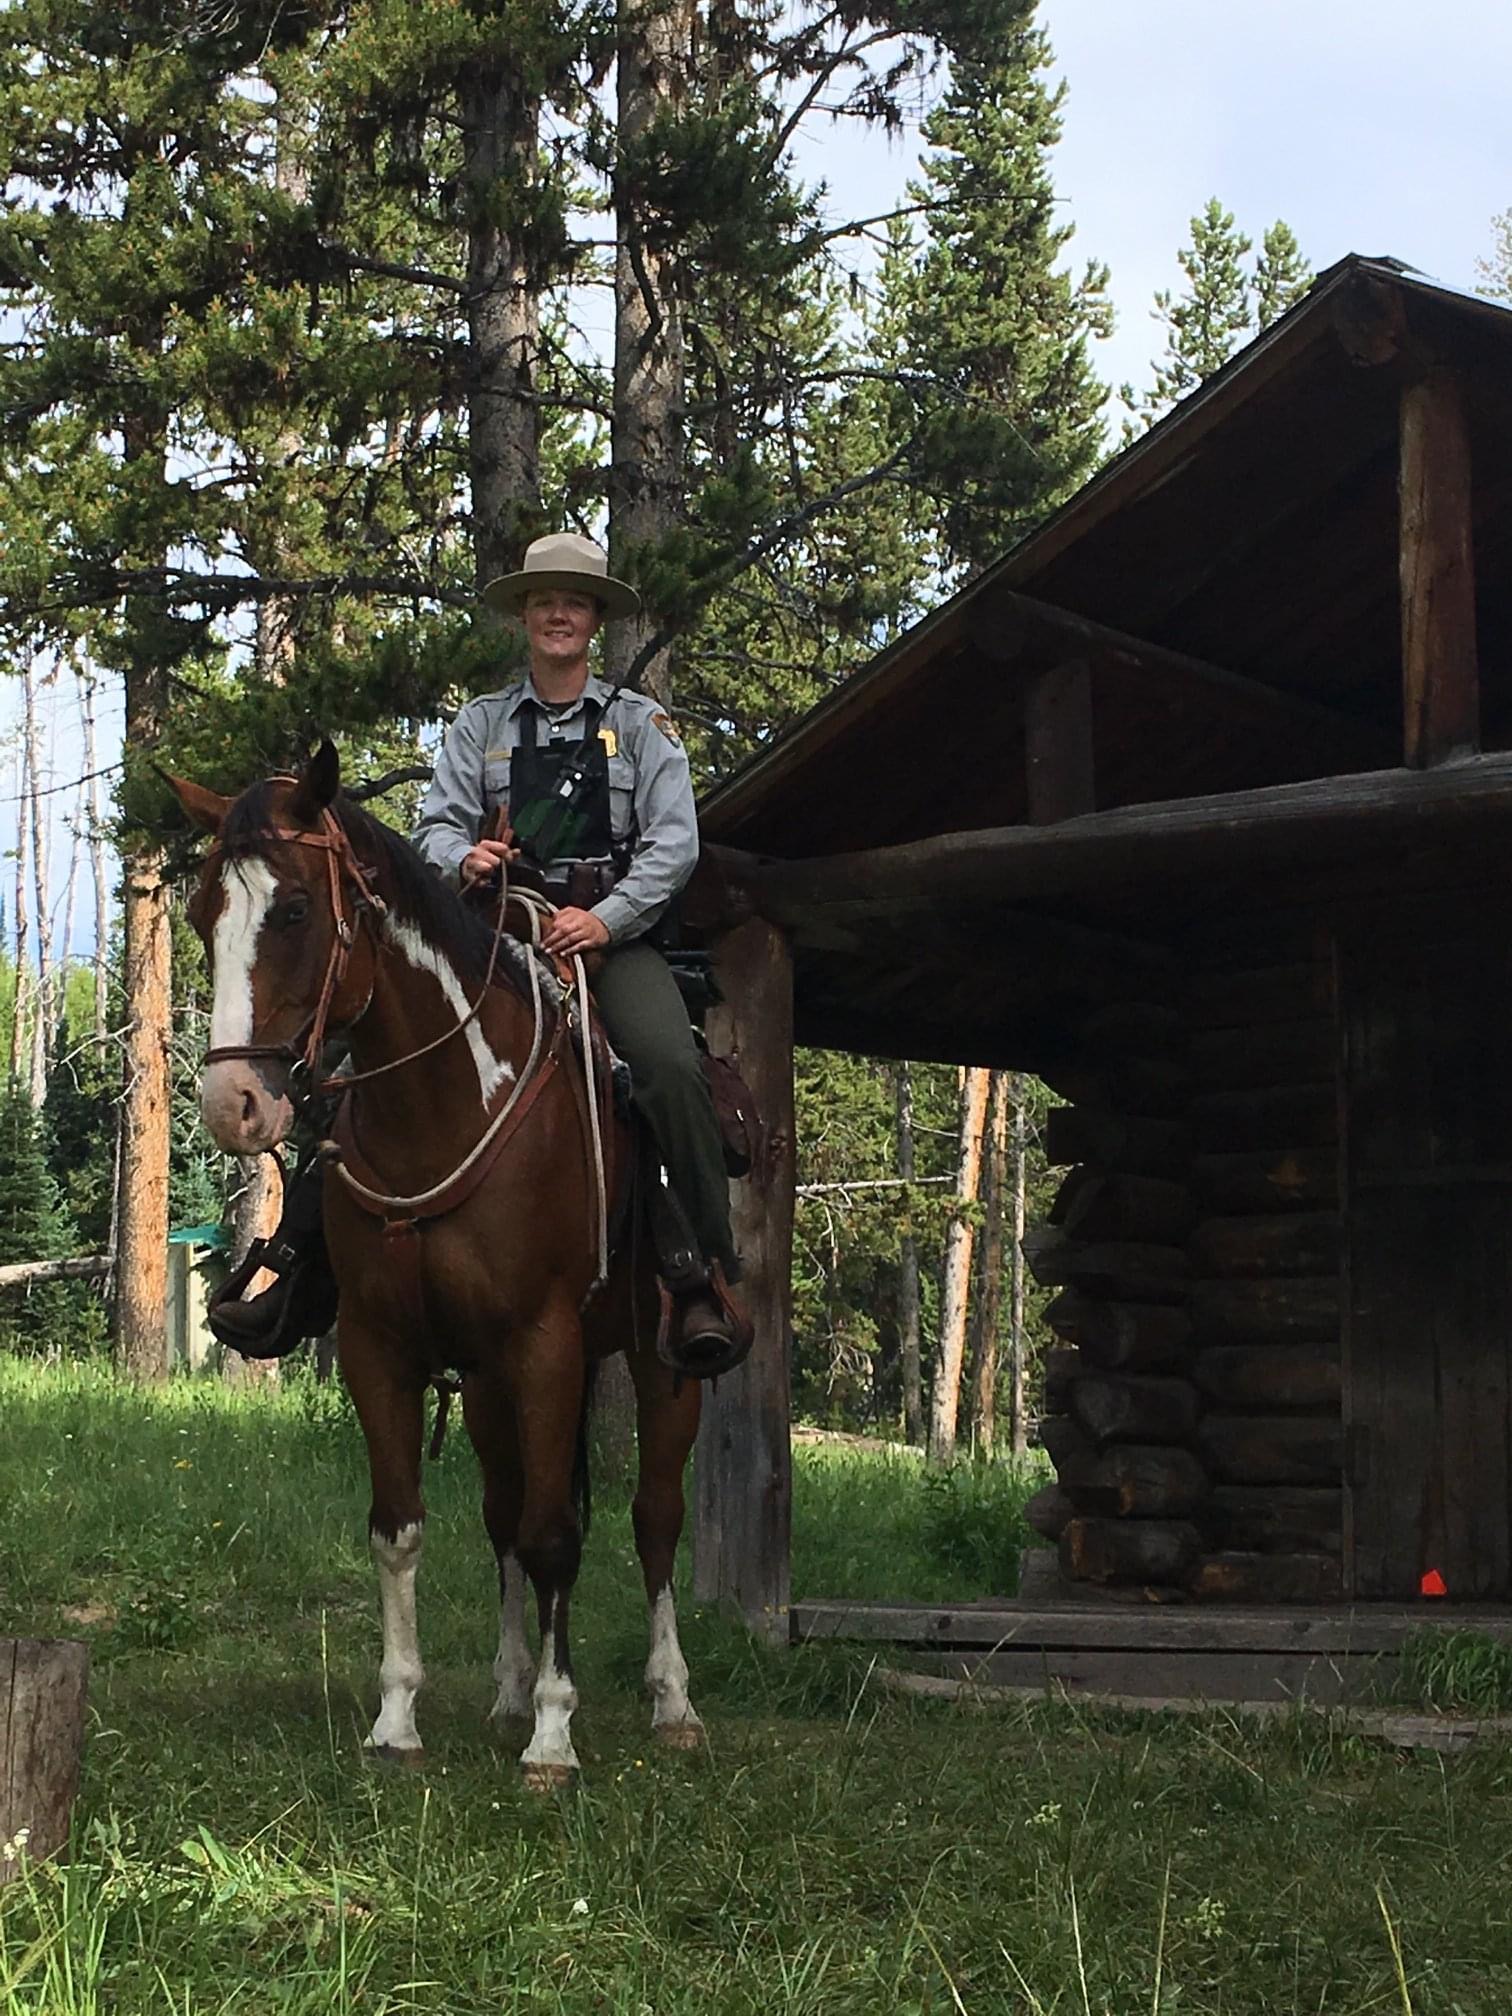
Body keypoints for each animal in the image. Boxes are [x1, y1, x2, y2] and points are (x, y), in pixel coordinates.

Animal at [174, 749, 709, 1790]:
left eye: (294, 909)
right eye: (200, 912)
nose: (234, 1104)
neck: (448, 1103)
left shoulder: (544, 1343)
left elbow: (556, 1535)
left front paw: (554, 1736)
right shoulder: (382, 1349)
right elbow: (402, 1528)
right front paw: (398, 1719)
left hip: (664, 1366)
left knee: (654, 1517)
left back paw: (671, 1699)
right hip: (492, 1381)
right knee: (504, 1512)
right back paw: (507, 1691)